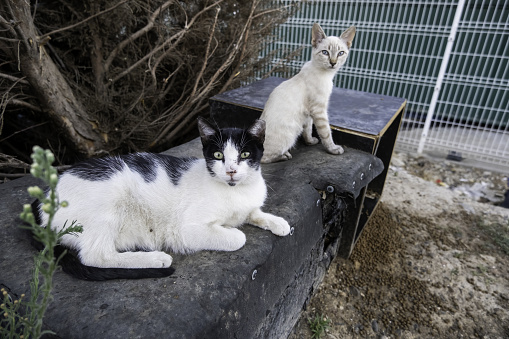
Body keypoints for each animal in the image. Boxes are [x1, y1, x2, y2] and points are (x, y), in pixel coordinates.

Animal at [34, 118, 290, 280]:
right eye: (218, 155)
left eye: (245, 154)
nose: (231, 171)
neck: (235, 191)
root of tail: (43, 201)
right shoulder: (187, 229)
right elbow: (238, 238)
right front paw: (232, 230)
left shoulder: (249, 206)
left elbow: (254, 213)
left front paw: (278, 222)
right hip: (109, 199)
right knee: (95, 255)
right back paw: (156, 259)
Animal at [260, 22, 356, 163]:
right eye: (325, 52)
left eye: (340, 53)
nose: (333, 63)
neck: (326, 75)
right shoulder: (319, 110)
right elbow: (326, 133)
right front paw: (333, 149)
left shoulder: (309, 113)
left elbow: (308, 130)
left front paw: (310, 142)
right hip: (289, 135)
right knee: (263, 159)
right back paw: (284, 156)